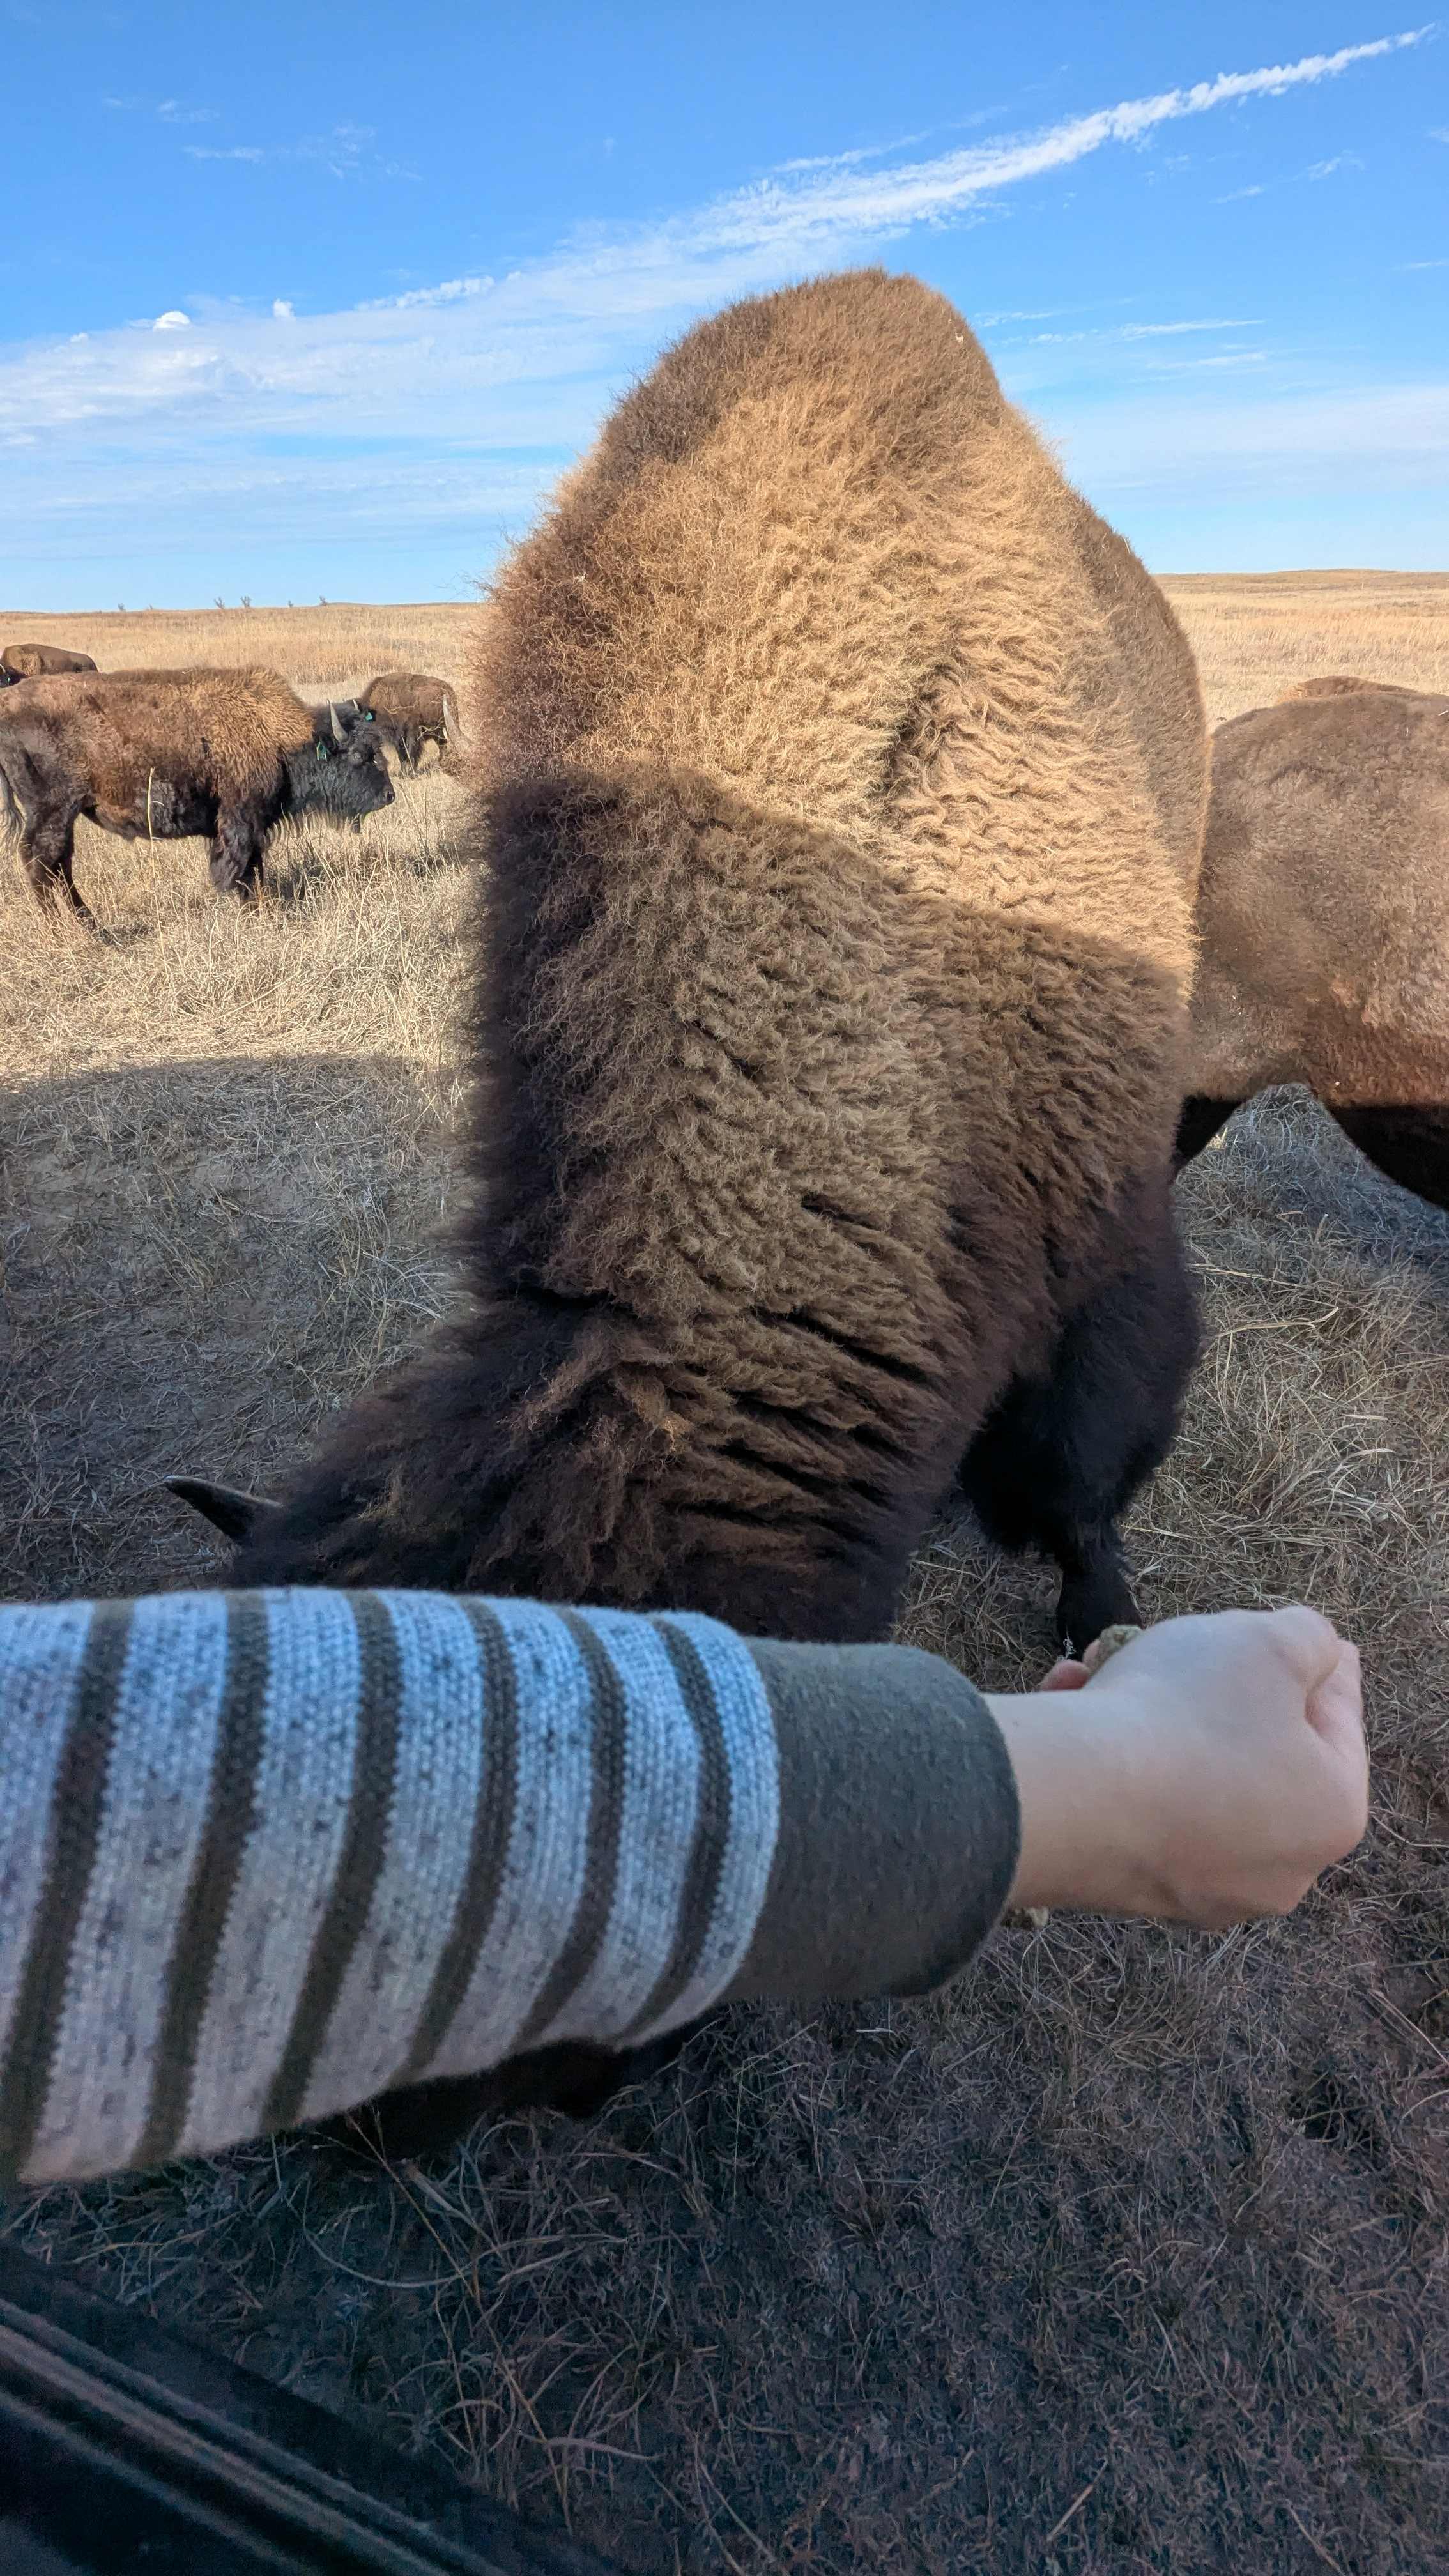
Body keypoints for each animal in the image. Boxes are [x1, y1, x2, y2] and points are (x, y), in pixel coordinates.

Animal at [0, 665, 393, 916]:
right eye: (359, 755)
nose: (389, 796)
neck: (277, 737)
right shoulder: (241, 820)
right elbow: (238, 869)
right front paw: (255, 912)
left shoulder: (250, 825)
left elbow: (255, 867)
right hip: (54, 810)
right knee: (42, 864)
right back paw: (72, 931)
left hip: (64, 816)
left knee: (59, 866)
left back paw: (92, 927)